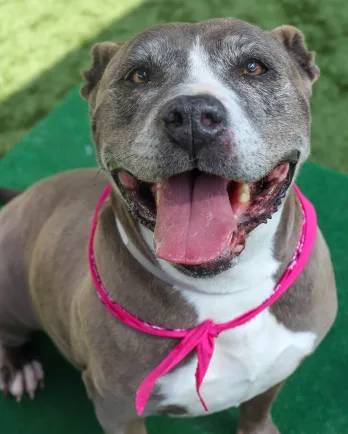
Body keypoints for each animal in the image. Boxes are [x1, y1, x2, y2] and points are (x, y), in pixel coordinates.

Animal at [0, 19, 338, 434]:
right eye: (139, 75)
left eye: (254, 67)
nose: (192, 116)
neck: (225, 292)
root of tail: (23, 196)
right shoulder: (117, 408)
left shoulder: (279, 368)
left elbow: (257, 408)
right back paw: (19, 367)